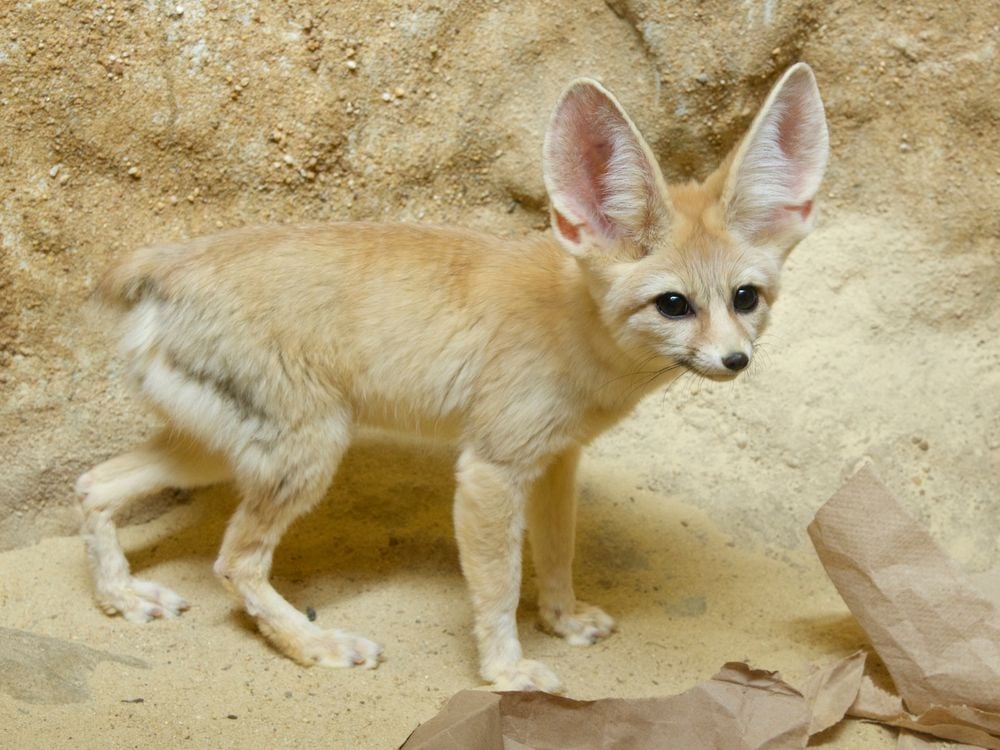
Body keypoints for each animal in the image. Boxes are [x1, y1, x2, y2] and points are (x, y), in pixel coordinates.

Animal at [76, 63, 828, 692]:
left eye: (746, 299)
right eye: (674, 304)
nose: (736, 360)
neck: (575, 324)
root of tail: (166, 261)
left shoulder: (556, 462)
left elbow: (557, 554)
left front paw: (562, 621)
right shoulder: (491, 470)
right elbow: (498, 587)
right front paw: (507, 671)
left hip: (218, 451)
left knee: (93, 486)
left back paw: (122, 598)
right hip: (307, 452)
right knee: (234, 563)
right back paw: (315, 644)